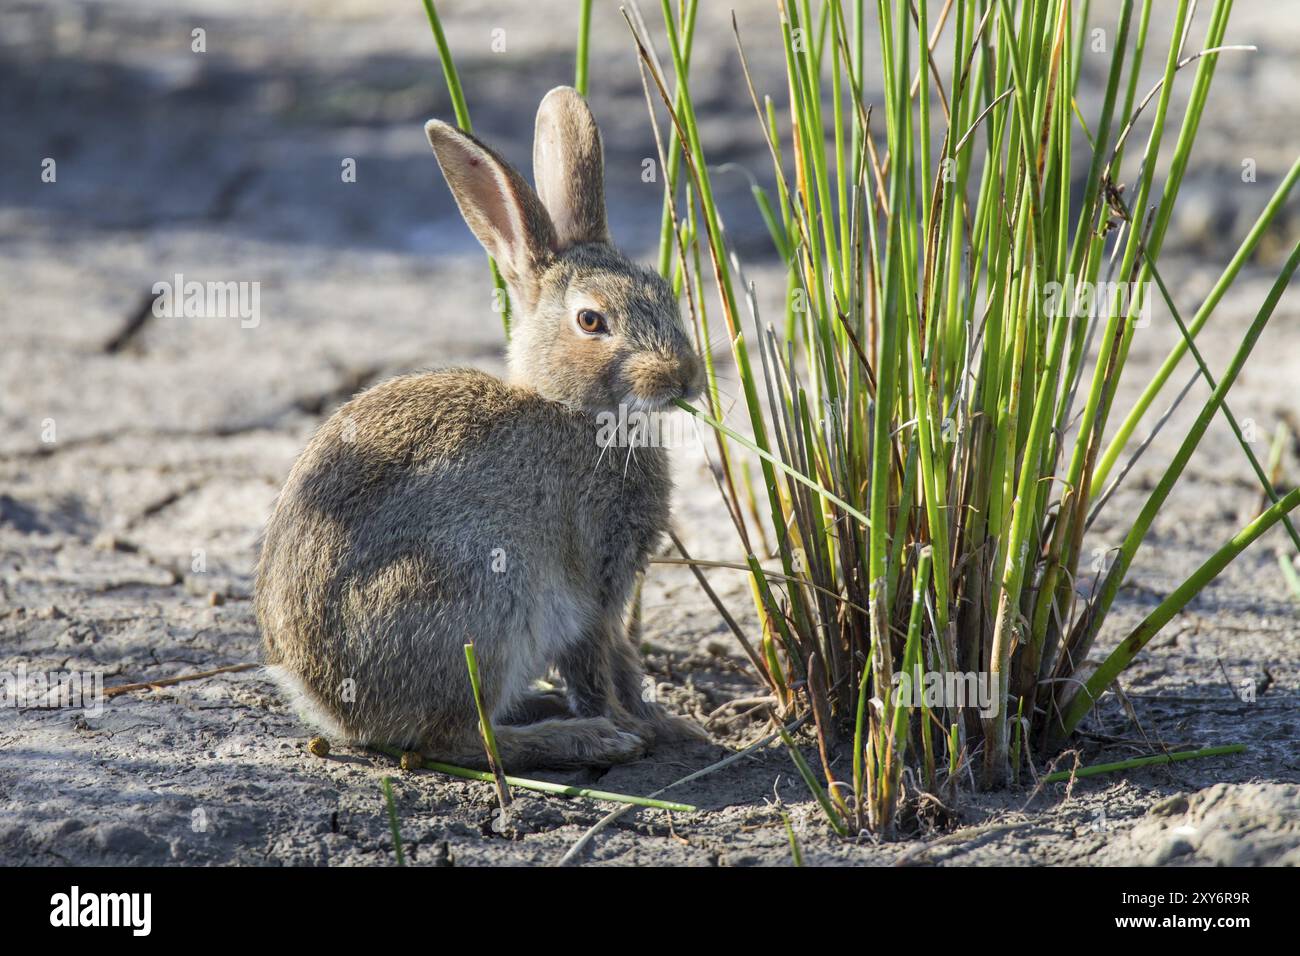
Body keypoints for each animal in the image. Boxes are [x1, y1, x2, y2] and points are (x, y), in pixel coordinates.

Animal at [254, 87, 707, 769]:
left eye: (663, 291)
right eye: (591, 321)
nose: (683, 376)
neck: (572, 412)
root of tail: (323, 697)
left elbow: (625, 665)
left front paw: (674, 726)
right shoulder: (590, 591)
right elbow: (600, 669)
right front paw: (634, 729)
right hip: (481, 606)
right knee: (461, 739)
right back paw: (574, 737)